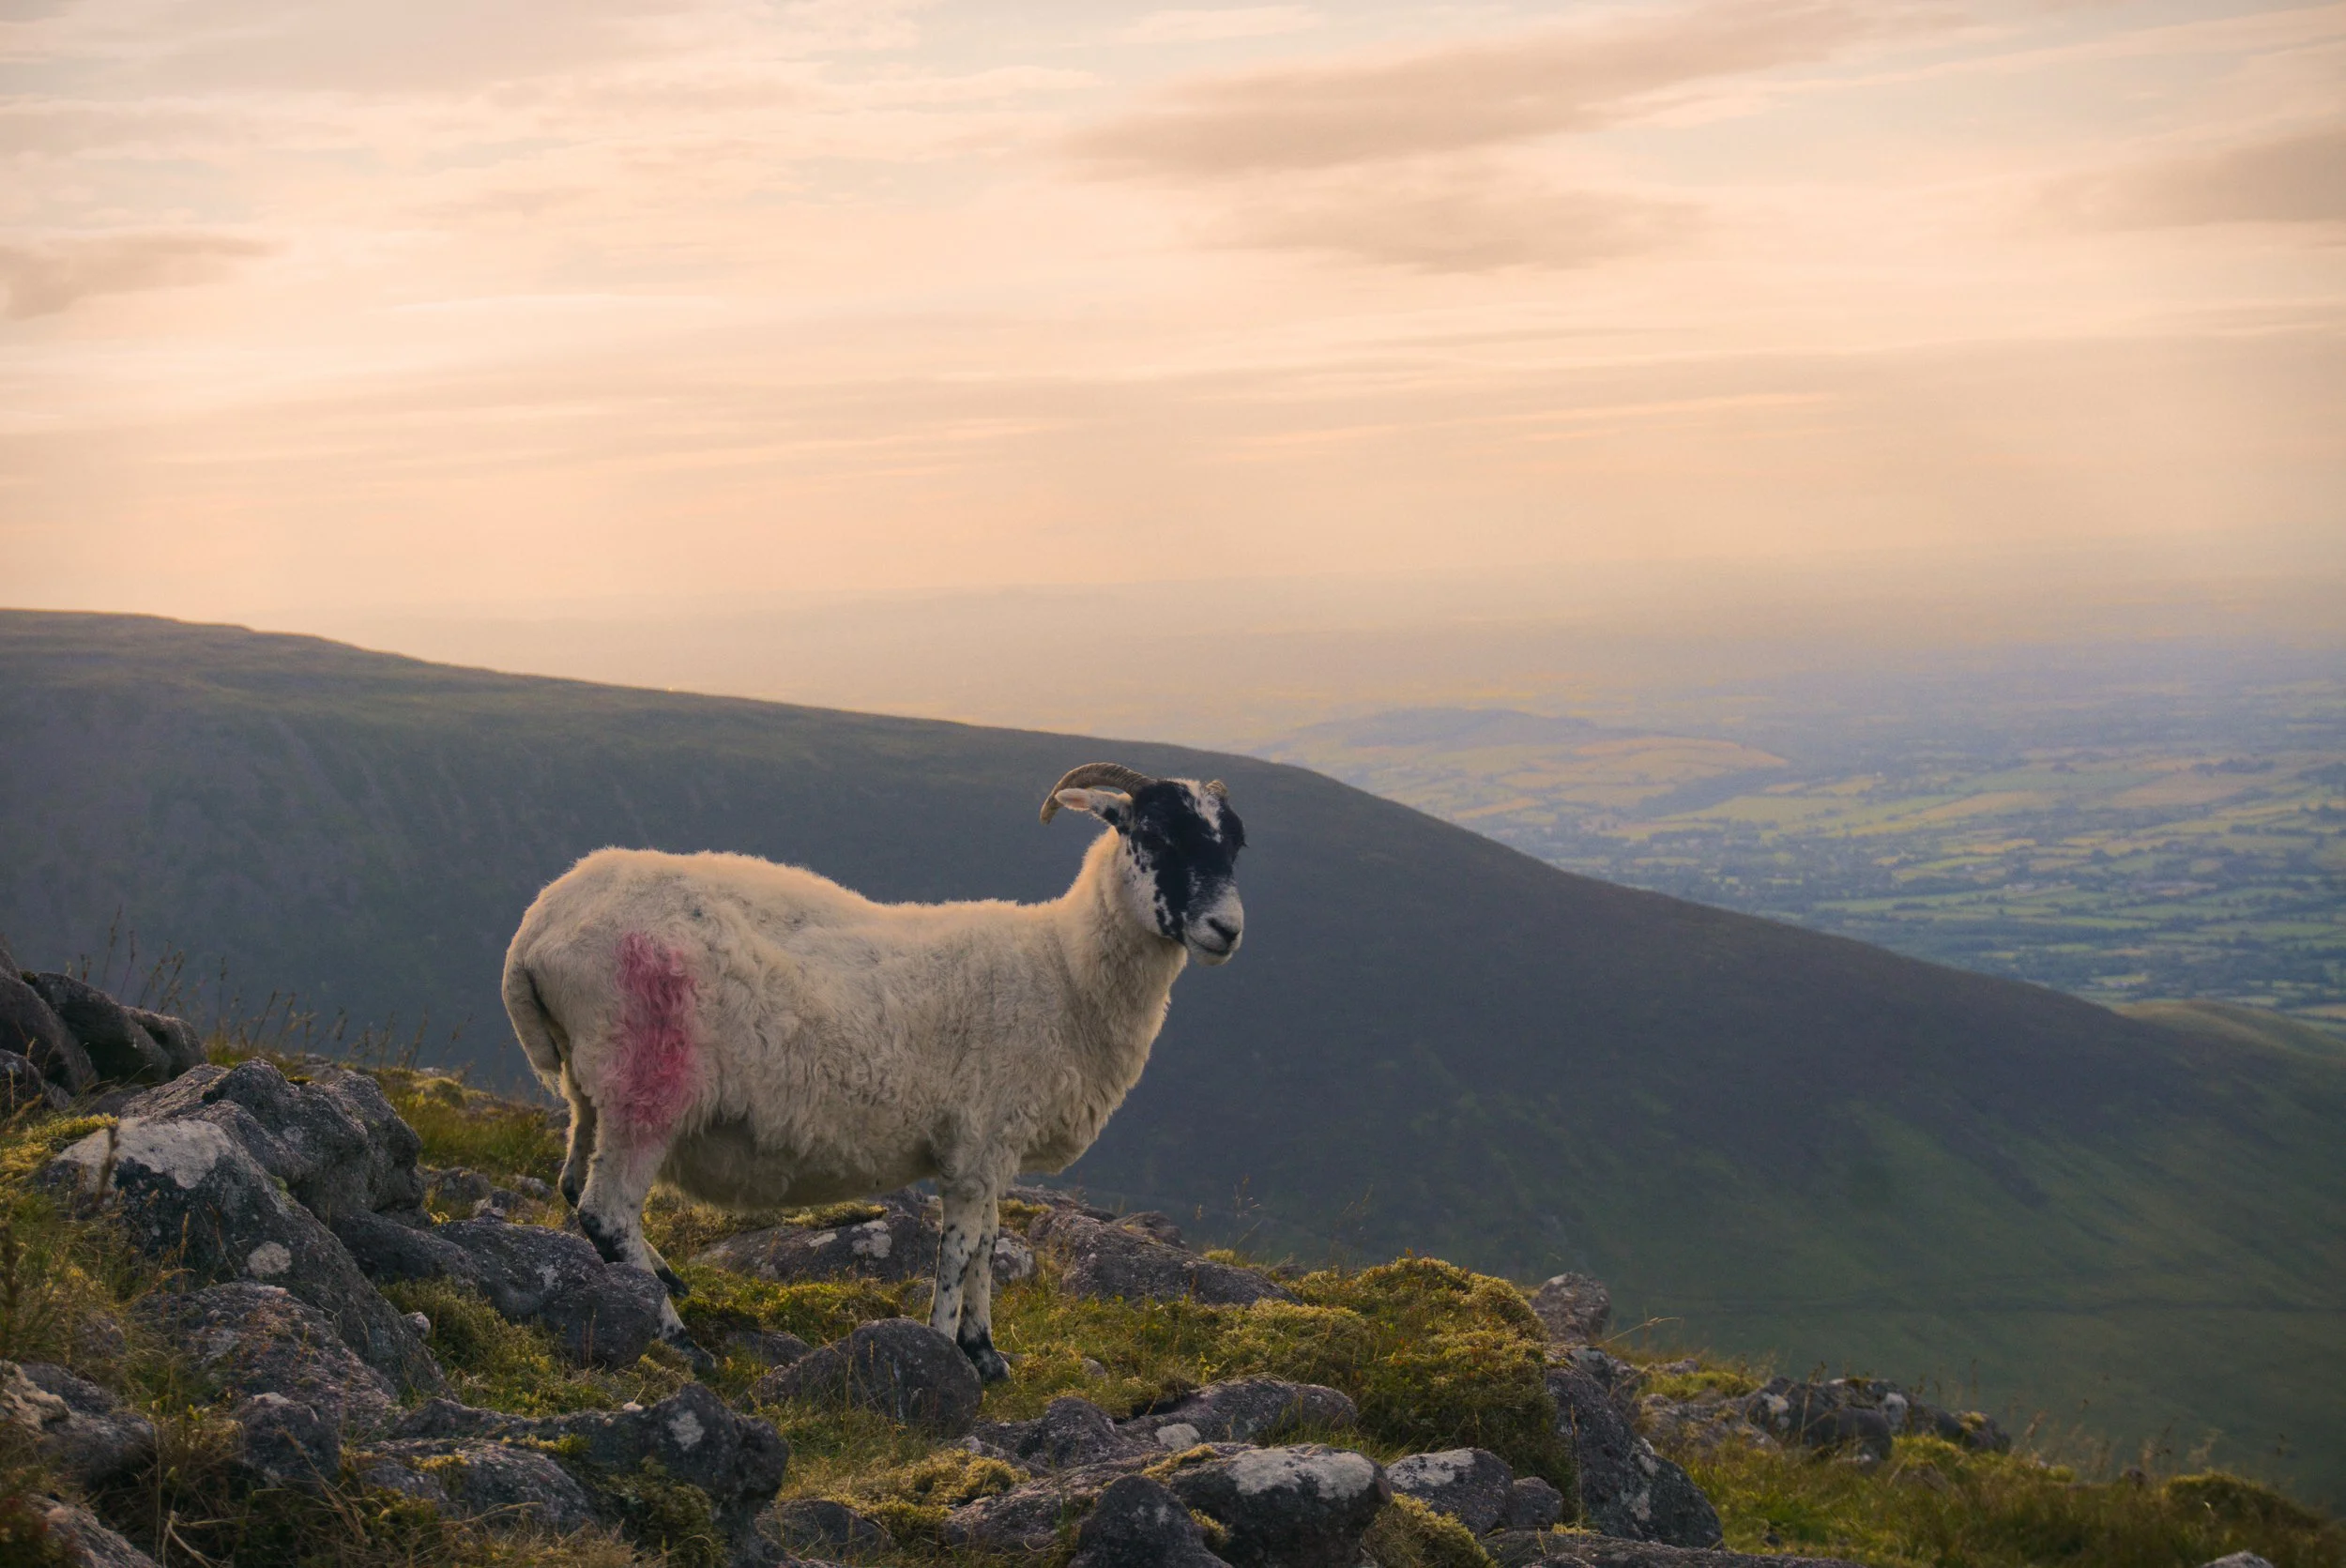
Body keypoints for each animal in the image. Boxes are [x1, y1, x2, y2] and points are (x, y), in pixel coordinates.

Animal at [500, 762, 1247, 1378]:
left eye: (1235, 845)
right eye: (1154, 835)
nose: (1227, 929)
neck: (1062, 971)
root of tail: (537, 927)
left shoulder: (993, 1150)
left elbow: (989, 1244)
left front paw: (986, 1353)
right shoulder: (976, 1145)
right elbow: (960, 1250)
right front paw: (945, 1348)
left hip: (592, 1085)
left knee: (575, 1184)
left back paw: (659, 1280)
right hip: (648, 1084)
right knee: (607, 1211)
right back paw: (677, 1336)